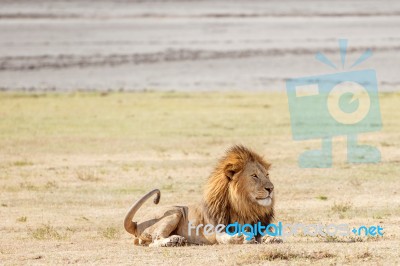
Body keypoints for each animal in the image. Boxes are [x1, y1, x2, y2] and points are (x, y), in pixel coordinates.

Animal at [125, 144, 276, 246]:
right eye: (254, 176)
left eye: (267, 175)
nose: (271, 188)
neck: (245, 207)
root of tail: (137, 223)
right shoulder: (214, 231)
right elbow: (224, 237)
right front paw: (241, 238)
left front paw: (271, 238)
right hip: (174, 212)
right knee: (154, 240)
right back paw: (173, 240)